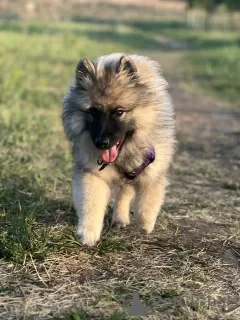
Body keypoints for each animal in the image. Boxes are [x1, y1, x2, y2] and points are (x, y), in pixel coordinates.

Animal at [62, 53, 175, 246]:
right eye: (93, 112)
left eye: (119, 112)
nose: (101, 143)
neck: (124, 155)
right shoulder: (92, 173)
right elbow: (91, 201)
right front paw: (88, 233)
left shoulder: (153, 172)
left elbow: (148, 201)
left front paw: (145, 224)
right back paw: (120, 218)